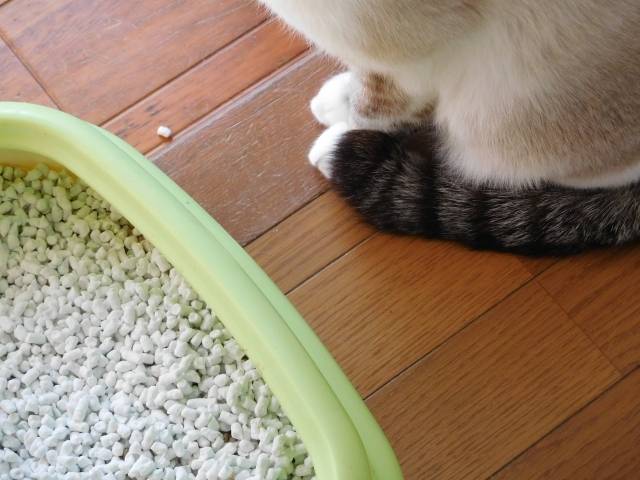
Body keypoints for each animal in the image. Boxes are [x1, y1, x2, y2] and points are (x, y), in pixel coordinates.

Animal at [259, 0, 640, 255]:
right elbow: (361, 81)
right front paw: (336, 98)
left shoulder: (411, 65)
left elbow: (372, 109)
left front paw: (341, 132)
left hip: (507, 120)